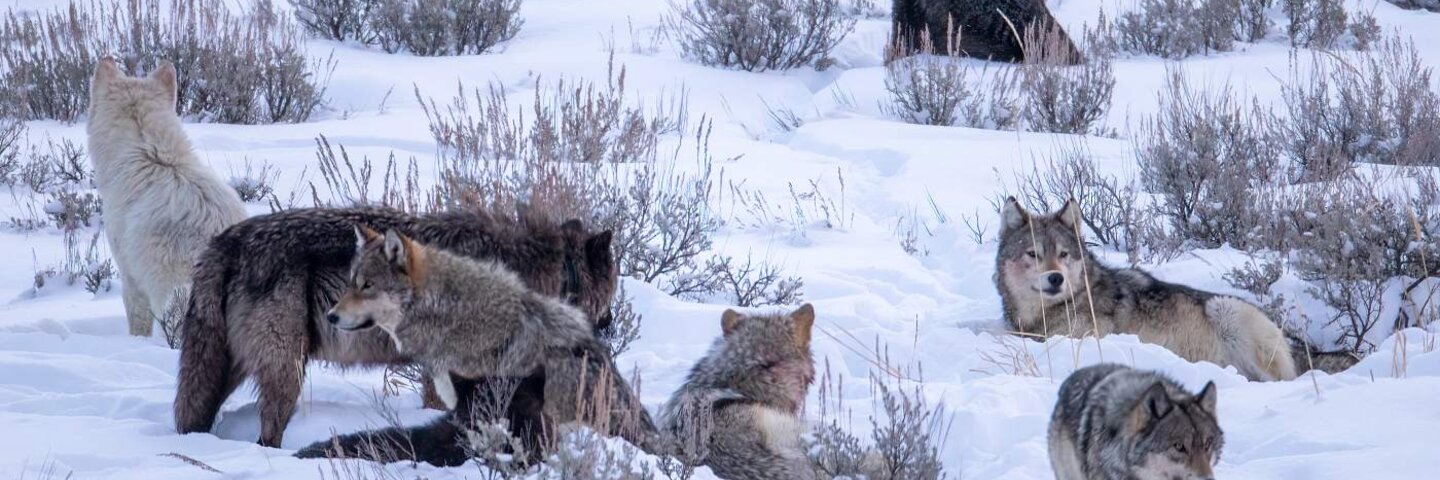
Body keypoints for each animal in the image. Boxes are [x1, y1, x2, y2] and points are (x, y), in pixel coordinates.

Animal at [173, 207, 618, 448]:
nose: (610, 326)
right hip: (287, 372)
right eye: (612, 292)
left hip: (226, 369)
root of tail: (223, 243)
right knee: (267, 435)